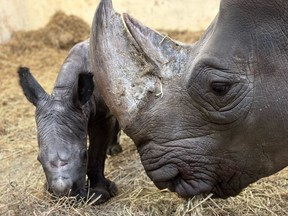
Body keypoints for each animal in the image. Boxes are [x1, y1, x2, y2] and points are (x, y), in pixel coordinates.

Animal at [17, 39, 120, 203]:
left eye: (84, 156)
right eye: (38, 159)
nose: (64, 194)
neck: (63, 92)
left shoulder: (102, 117)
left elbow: (97, 153)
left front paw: (99, 193)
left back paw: (114, 150)